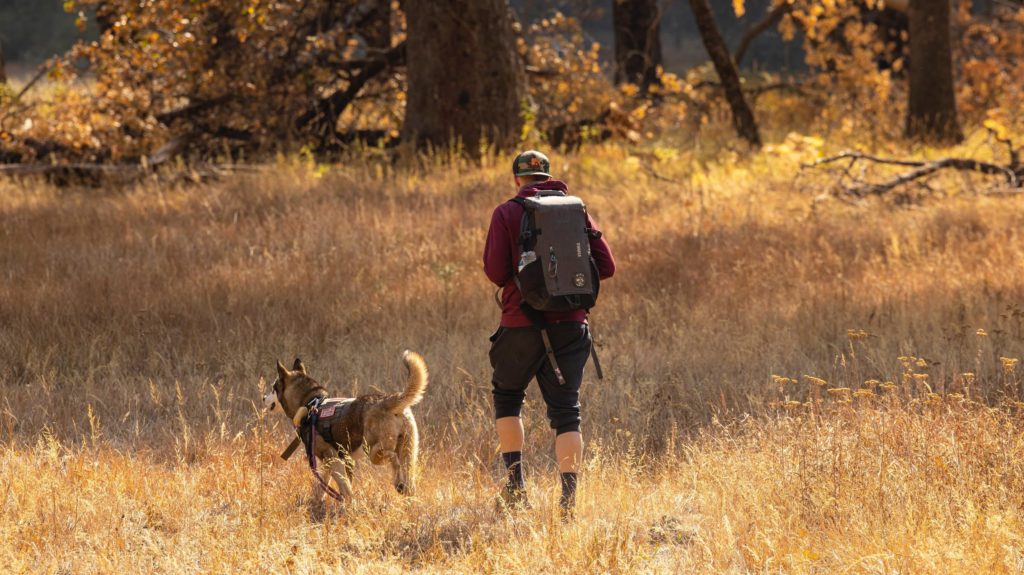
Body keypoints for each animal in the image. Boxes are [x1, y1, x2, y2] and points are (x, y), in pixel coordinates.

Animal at [264, 351, 428, 511]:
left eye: (273, 388)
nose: (264, 397)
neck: (311, 404)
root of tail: (388, 400)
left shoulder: (332, 458)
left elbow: (345, 489)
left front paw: (348, 506)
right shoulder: (333, 462)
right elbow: (322, 487)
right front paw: (315, 504)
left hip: (374, 452)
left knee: (394, 459)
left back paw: (398, 483)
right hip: (408, 452)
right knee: (409, 478)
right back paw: (408, 496)